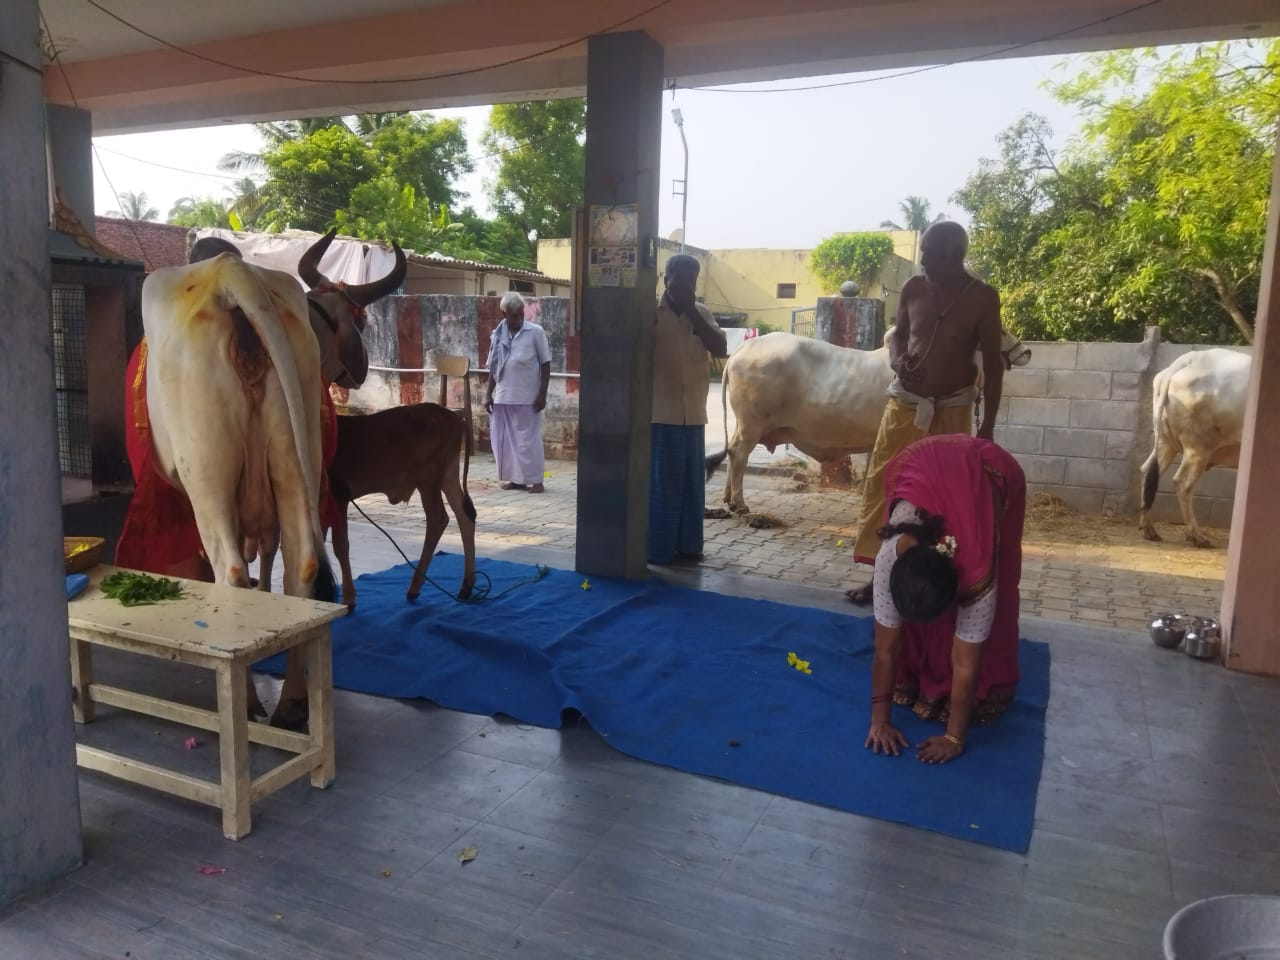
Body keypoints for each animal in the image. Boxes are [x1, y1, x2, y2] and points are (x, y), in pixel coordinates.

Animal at [320, 404, 478, 613]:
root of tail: (454, 417)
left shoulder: (339, 496)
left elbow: (339, 545)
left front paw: (348, 599)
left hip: (428, 478)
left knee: (438, 518)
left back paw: (415, 588)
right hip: (448, 475)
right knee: (465, 516)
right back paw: (466, 587)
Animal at [707, 329, 1031, 515]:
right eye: (999, 328)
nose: (1025, 350)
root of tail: (743, 349)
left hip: (745, 426)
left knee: (733, 452)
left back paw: (728, 498)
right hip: (752, 424)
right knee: (738, 455)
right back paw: (739, 502)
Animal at [1138, 348, 1249, 548]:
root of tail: (1191, 358)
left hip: (1165, 441)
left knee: (1147, 471)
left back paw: (1150, 529)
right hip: (1198, 448)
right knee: (1183, 483)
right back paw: (1196, 536)